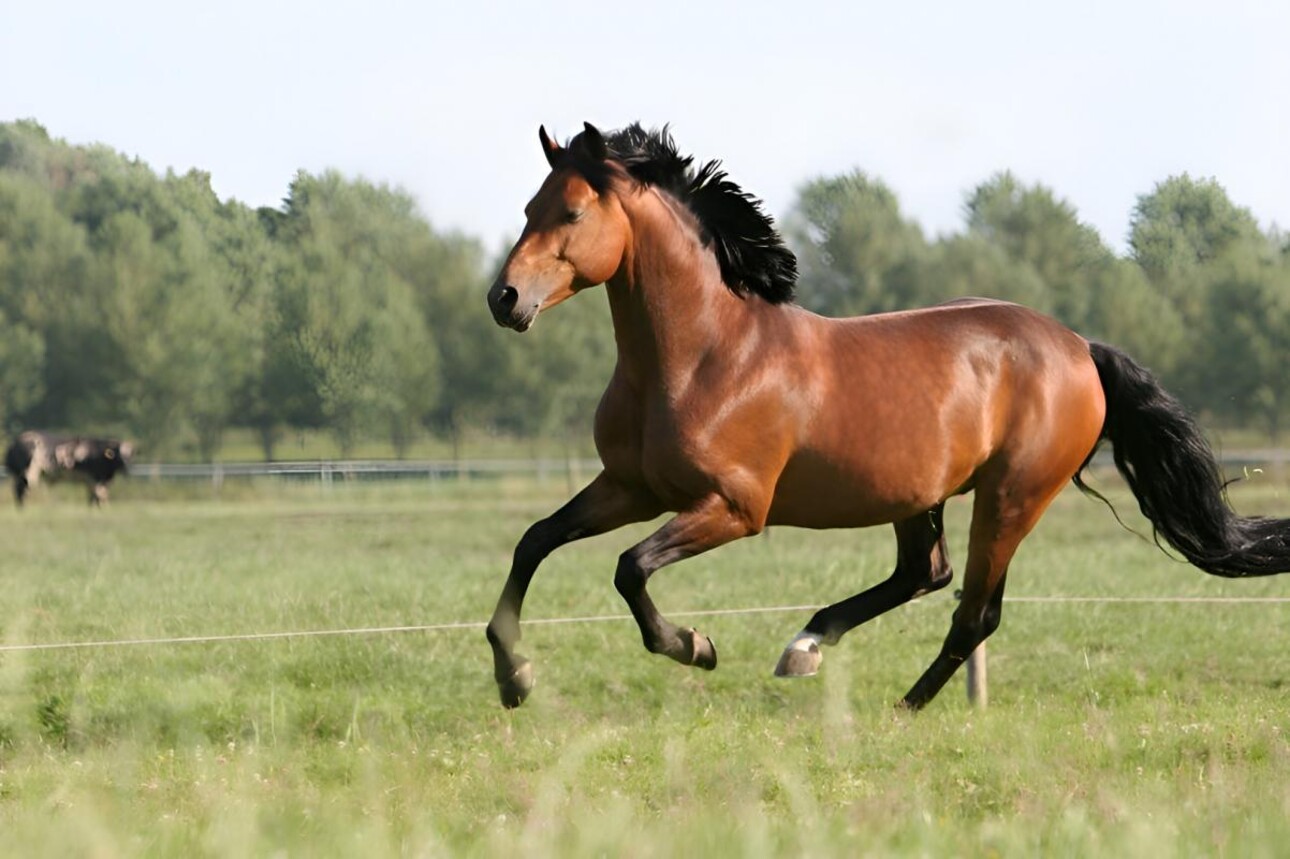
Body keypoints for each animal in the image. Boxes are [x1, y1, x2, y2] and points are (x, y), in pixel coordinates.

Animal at [3, 430, 134, 505]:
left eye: (129, 455)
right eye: (119, 455)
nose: (127, 467)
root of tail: (14, 443)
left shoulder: (96, 481)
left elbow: (95, 497)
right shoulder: (94, 479)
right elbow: (98, 497)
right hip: (29, 474)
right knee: (22, 491)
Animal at [485, 120, 1290, 706]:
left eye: (572, 211)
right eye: (526, 209)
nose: (504, 298)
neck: (703, 356)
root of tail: (1079, 347)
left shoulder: (734, 508)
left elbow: (630, 568)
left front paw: (695, 647)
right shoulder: (632, 488)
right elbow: (533, 541)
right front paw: (513, 677)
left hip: (1012, 495)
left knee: (974, 609)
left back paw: (903, 703)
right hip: (918, 494)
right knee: (924, 575)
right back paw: (807, 646)